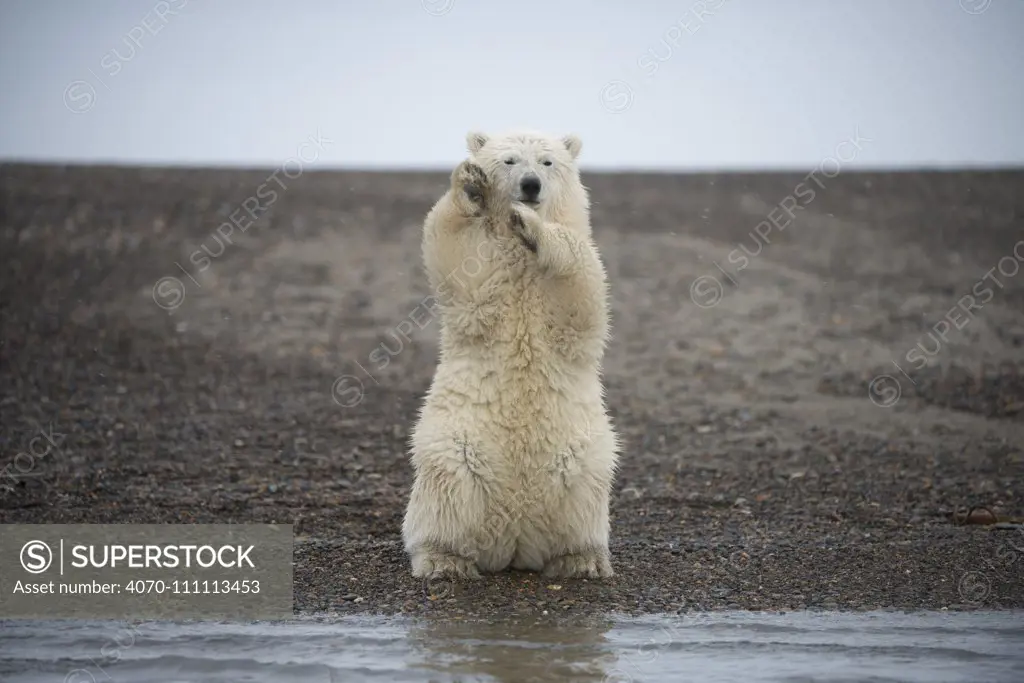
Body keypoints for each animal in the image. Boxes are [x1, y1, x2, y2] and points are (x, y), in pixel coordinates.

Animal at [403, 131, 618, 581]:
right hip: (456, 446)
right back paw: (443, 559)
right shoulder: (488, 276)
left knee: (582, 497)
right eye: (509, 160)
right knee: (446, 494)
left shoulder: (570, 280)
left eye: (548, 162)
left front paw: (532, 226)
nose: (530, 185)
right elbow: (452, 242)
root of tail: (516, 541)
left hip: (581, 458)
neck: (521, 261)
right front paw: (470, 185)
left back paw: (581, 559)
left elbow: (581, 280)